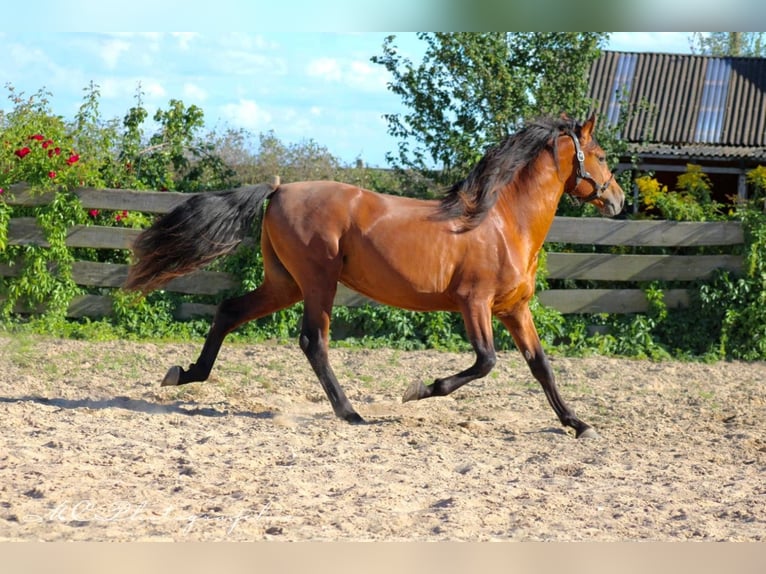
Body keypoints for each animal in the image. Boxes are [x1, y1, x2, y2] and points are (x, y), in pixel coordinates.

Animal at [126, 116, 628, 440]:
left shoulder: (514, 309)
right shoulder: (474, 303)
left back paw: (184, 375)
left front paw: (578, 424)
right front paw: (419, 390)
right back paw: (350, 413)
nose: (619, 201)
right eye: (602, 156)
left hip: (285, 283)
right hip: (317, 282)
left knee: (230, 311)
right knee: (313, 341)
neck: (503, 223)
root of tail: (279, 189)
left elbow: (541, 366)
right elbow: (486, 362)